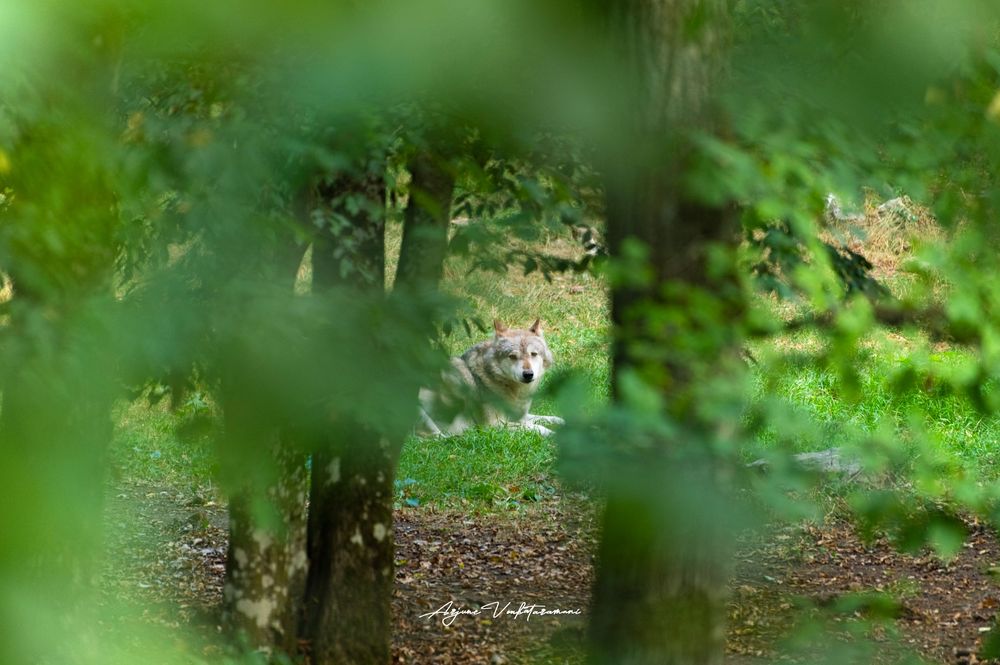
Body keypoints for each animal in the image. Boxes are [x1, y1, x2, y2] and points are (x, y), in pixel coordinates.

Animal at [417, 319, 565, 437]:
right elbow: (535, 427)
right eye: (512, 356)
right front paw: (553, 433)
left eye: (533, 354)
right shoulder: (494, 425)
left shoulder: (519, 417)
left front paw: (561, 421)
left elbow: (546, 418)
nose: (528, 374)